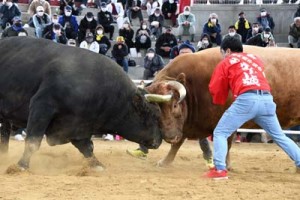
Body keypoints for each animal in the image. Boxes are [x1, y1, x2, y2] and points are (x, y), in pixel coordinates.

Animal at [0, 37, 162, 169]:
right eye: (152, 115)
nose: (160, 140)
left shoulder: (78, 126)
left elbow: (87, 148)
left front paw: (96, 165)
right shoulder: (42, 106)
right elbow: (33, 142)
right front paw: (21, 166)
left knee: (4, 134)